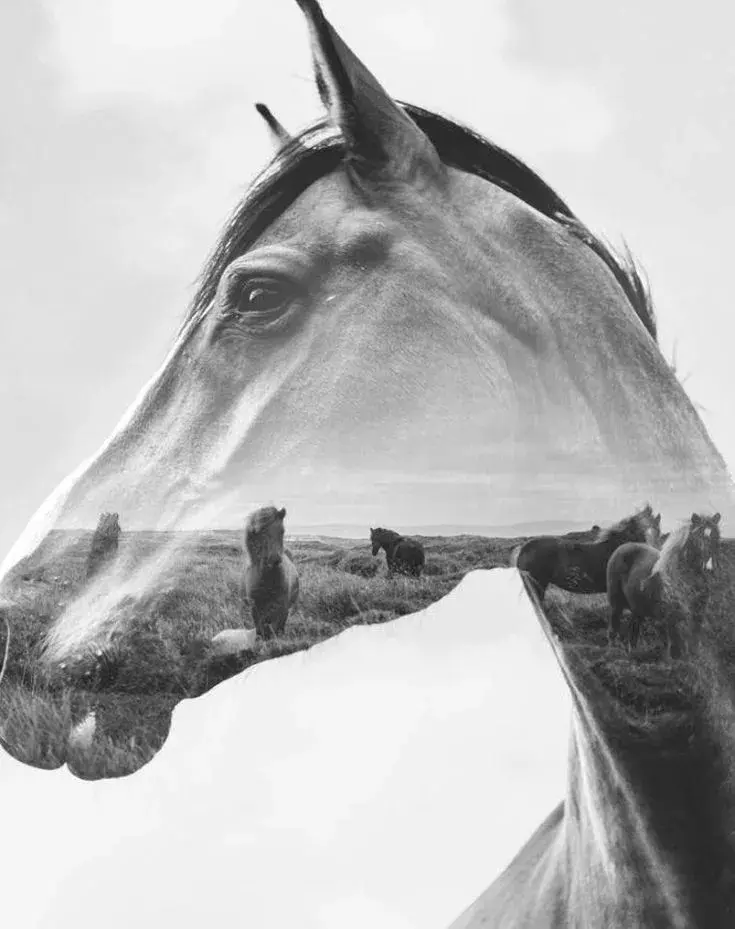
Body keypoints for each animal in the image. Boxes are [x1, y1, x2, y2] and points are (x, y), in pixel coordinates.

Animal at [243, 506, 299, 639]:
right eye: (260, 532)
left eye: (282, 531)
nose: (275, 559)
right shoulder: (255, 608)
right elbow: (260, 629)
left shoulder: (282, 606)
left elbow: (277, 627)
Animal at [607, 512, 722, 658]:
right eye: (697, 539)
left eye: (716, 537)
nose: (709, 569)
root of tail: (624, 546)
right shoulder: (672, 619)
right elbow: (676, 649)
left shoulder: (698, 616)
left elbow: (694, 644)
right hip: (616, 604)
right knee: (614, 626)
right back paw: (613, 651)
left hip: (637, 608)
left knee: (634, 630)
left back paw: (633, 653)